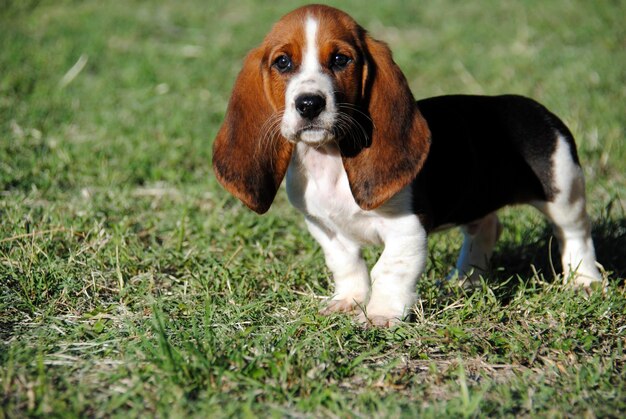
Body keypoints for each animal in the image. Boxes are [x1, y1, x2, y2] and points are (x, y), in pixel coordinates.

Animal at [212, 5, 604, 328]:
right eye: (282, 63)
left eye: (340, 59)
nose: (309, 103)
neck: (330, 159)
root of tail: (540, 110)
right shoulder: (325, 228)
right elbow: (347, 265)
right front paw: (348, 302)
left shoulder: (406, 230)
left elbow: (388, 269)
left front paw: (381, 314)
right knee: (487, 226)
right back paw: (465, 279)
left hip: (564, 189)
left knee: (576, 234)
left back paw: (584, 281)